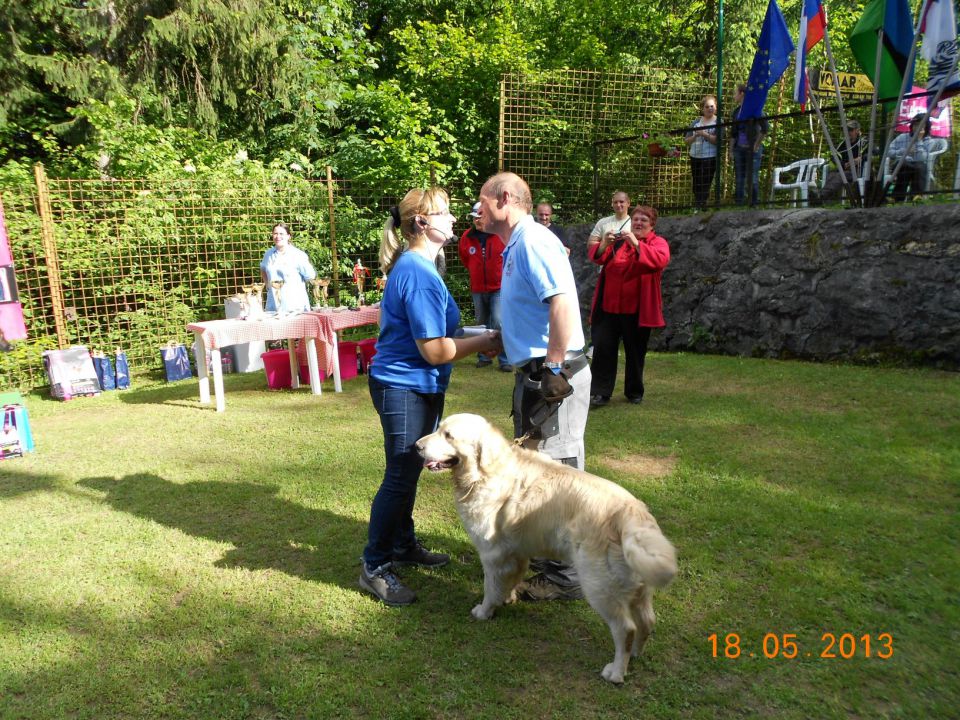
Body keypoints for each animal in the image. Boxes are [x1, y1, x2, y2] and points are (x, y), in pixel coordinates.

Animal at [414, 414, 676, 684]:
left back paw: (615, 672)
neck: (484, 473)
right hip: (638, 587)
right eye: (439, 429)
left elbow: (490, 587)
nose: (416, 446)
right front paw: (507, 598)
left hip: (598, 585)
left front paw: (485, 611)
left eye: (449, 436)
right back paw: (635, 654)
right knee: (647, 621)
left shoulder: (492, 554)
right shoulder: (516, 551)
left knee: (626, 629)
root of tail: (632, 512)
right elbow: (510, 579)